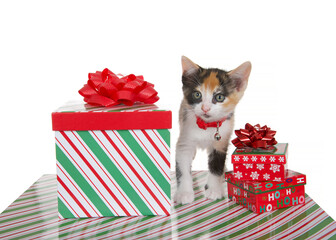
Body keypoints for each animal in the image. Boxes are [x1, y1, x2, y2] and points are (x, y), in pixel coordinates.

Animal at [175, 56, 251, 204]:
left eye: (219, 97)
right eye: (197, 94)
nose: (205, 108)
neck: (206, 126)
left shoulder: (221, 141)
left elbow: (217, 165)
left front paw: (214, 190)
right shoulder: (184, 139)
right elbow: (182, 166)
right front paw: (184, 193)